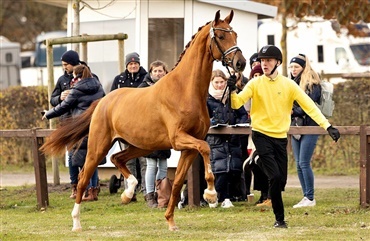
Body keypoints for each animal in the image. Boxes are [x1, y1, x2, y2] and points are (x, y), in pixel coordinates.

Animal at [40, 9, 246, 232]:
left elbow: (177, 183)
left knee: (117, 159)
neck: (185, 90)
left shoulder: (189, 148)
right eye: (221, 36)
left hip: (141, 146)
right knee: (83, 177)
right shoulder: (179, 139)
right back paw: (76, 222)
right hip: (98, 146)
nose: (240, 63)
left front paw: (171, 221)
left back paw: (128, 192)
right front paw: (211, 195)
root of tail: (103, 101)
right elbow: (206, 149)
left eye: (235, 34)